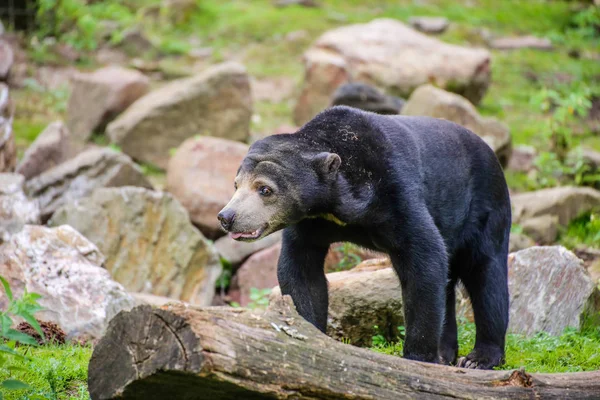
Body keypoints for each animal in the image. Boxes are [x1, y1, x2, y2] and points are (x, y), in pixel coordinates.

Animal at [218, 105, 508, 368]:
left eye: (265, 189)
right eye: (236, 185)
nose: (226, 217)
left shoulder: (396, 191)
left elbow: (424, 259)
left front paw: (419, 358)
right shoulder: (308, 222)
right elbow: (301, 270)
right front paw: (307, 335)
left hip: (486, 208)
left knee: (487, 276)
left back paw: (480, 358)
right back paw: (447, 354)